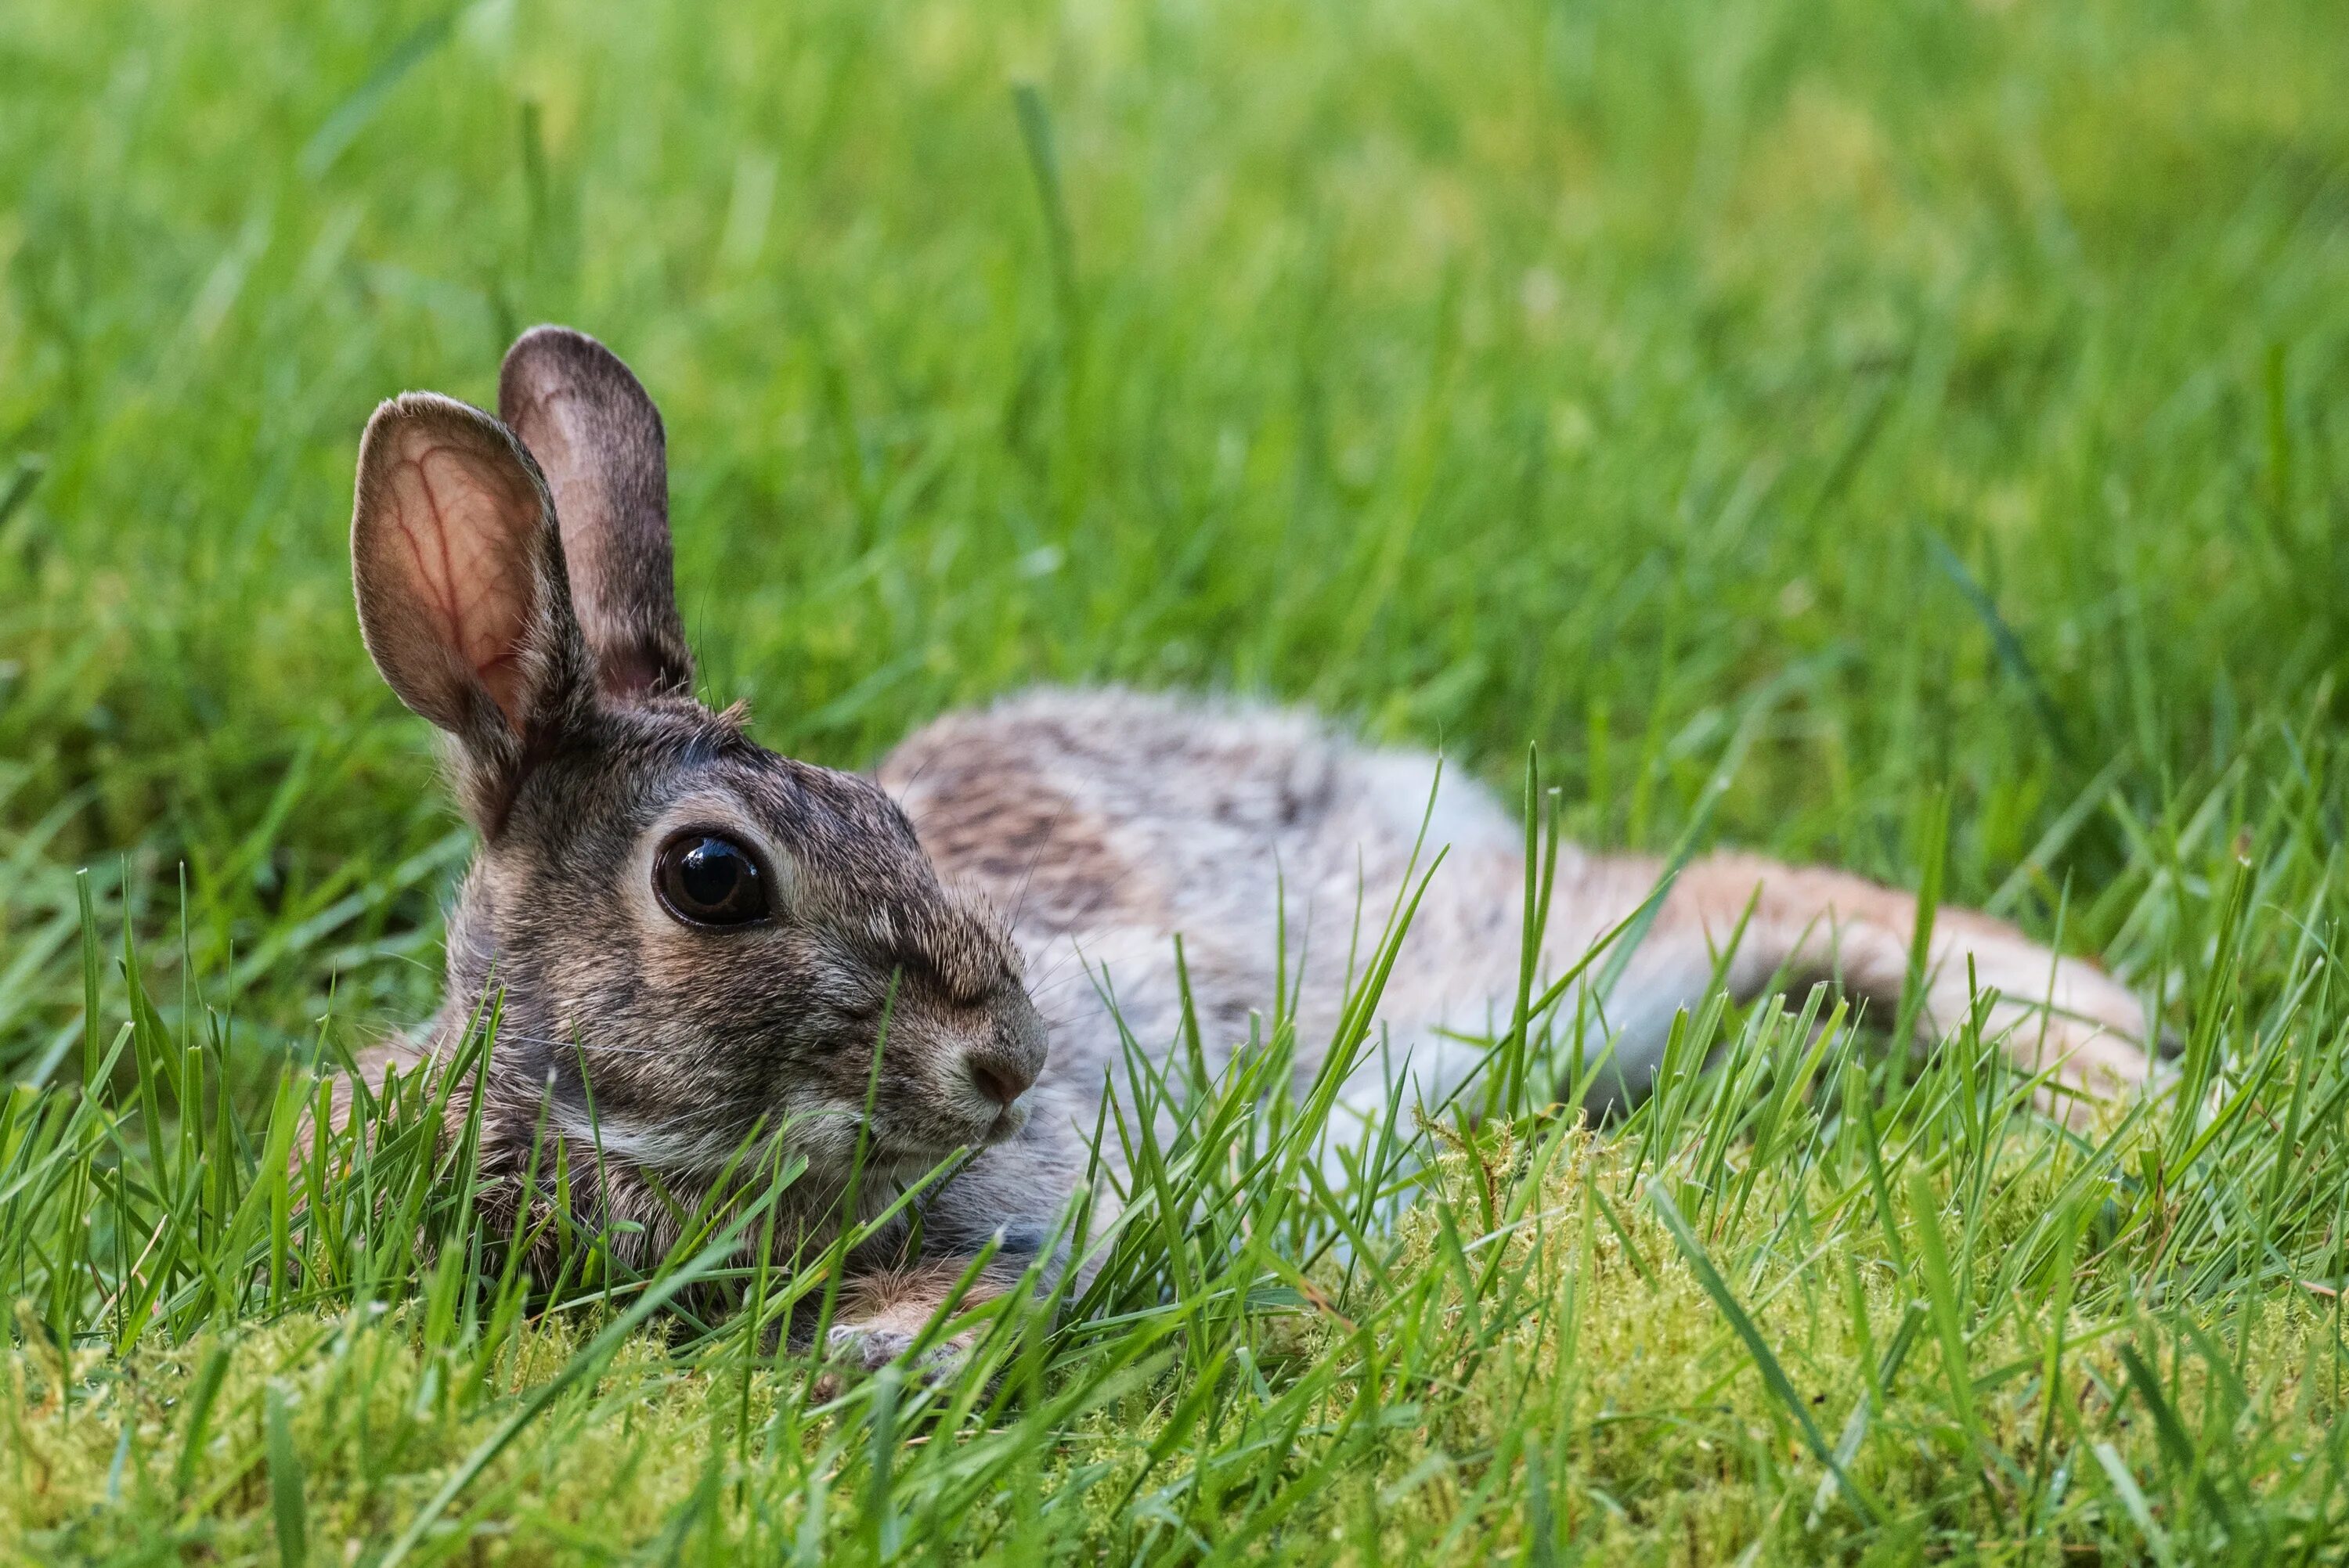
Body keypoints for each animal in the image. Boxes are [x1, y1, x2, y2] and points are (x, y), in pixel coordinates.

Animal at [348, 328, 2161, 1371]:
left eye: (891, 810)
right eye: (712, 876)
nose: (1011, 1056)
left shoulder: (1046, 1191)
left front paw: (887, 1352)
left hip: (1492, 958)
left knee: (1716, 889)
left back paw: (2106, 1064)